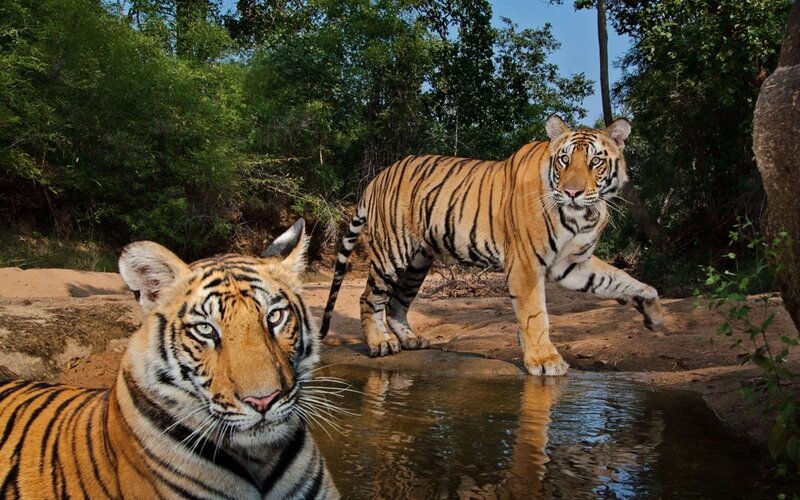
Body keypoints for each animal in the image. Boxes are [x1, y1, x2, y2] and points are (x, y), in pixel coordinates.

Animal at [319, 114, 664, 376]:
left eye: (595, 162)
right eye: (565, 160)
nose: (572, 192)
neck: (582, 215)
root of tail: (378, 177)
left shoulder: (572, 264)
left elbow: (621, 279)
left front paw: (653, 311)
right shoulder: (526, 265)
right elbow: (535, 315)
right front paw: (545, 360)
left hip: (418, 262)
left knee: (396, 302)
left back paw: (409, 340)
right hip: (393, 252)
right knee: (369, 298)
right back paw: (380, 344)